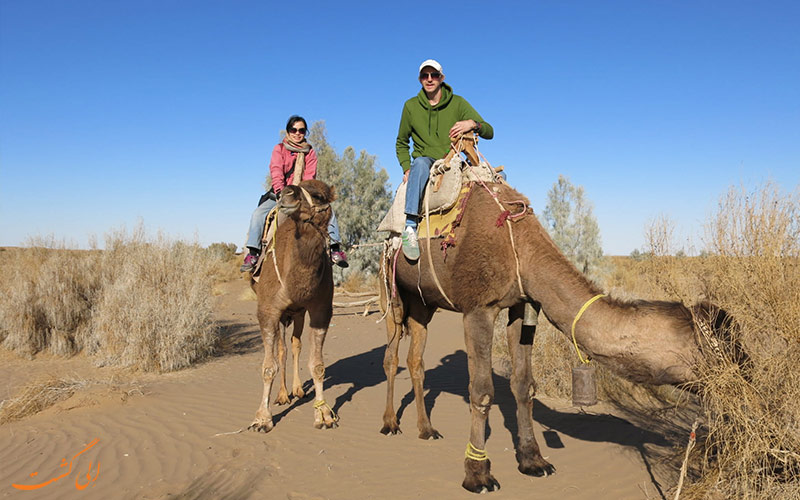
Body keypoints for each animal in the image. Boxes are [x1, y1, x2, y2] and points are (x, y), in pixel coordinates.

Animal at [250, 180, 338, 434]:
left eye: (318, 196)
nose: (286, 195)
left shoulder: (320, 310)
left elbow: (317, 365)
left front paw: (323, 414)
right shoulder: (268, 311)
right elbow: (268, 367)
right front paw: (262, 419)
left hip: (297, 313)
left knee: (295, 344)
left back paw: (297, 390)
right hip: (282, 314)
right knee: (282, 350)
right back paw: (282, 395)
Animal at [378, 179, 740, 492]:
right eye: (726, 347)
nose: (745, 376)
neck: (521, 248)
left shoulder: (523, 304)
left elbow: (524, 385)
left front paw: (534, 461)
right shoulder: (479, 307)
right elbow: (481, 392)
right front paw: (478, 474)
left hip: (423, 303)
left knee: (416, 360)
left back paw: (427, 430)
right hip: (390, 288)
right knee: (392, 355)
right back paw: (390, 424)